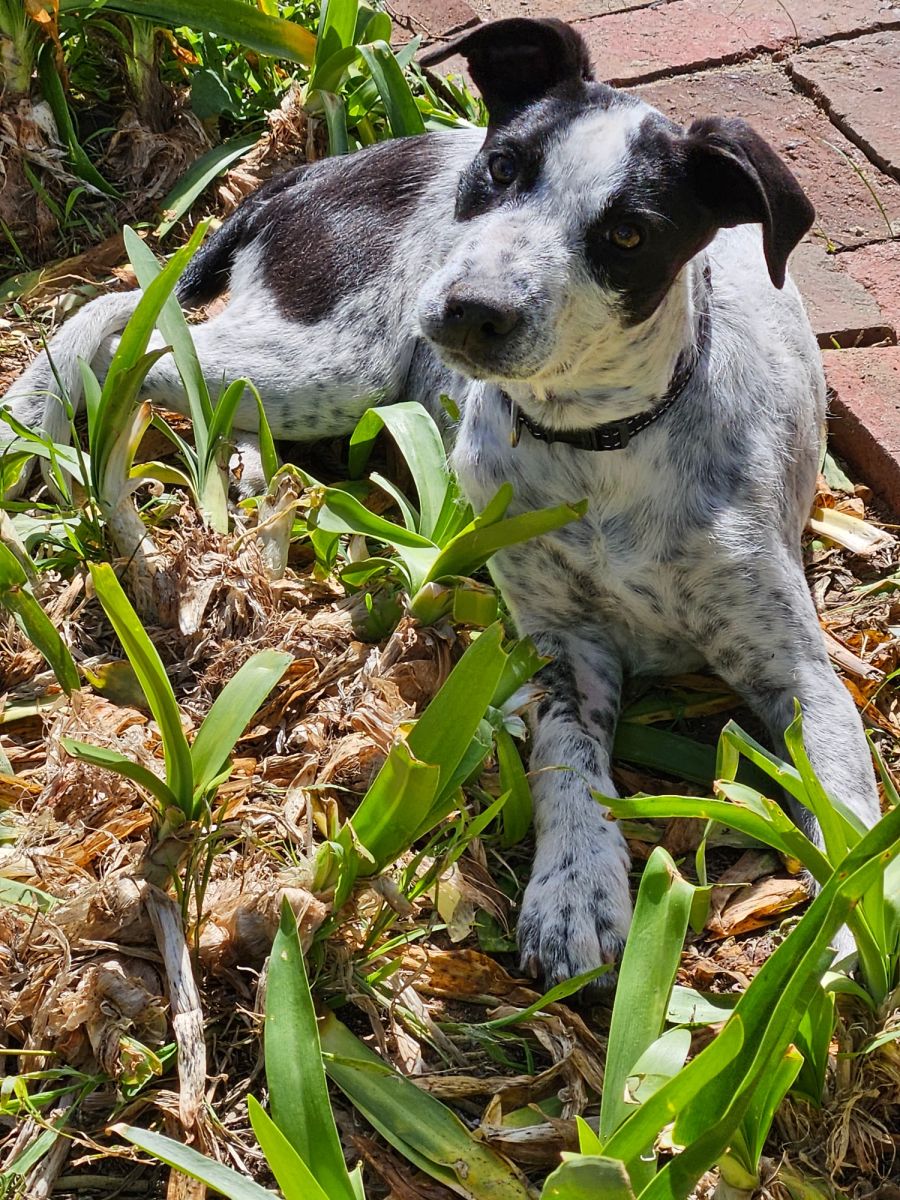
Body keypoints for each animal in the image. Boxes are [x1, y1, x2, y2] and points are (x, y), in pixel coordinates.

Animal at [1, 17, 881, 985]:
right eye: (503, 169)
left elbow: (846, 812)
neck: (600, 446)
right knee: (119, 318)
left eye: (627, 234)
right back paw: (45, 434)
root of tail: (327, 165)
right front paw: (575, 889)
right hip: (334, 360)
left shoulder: (797, 673)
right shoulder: (558, 644)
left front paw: (845, 928)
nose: (473, 310)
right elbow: (568, 761)